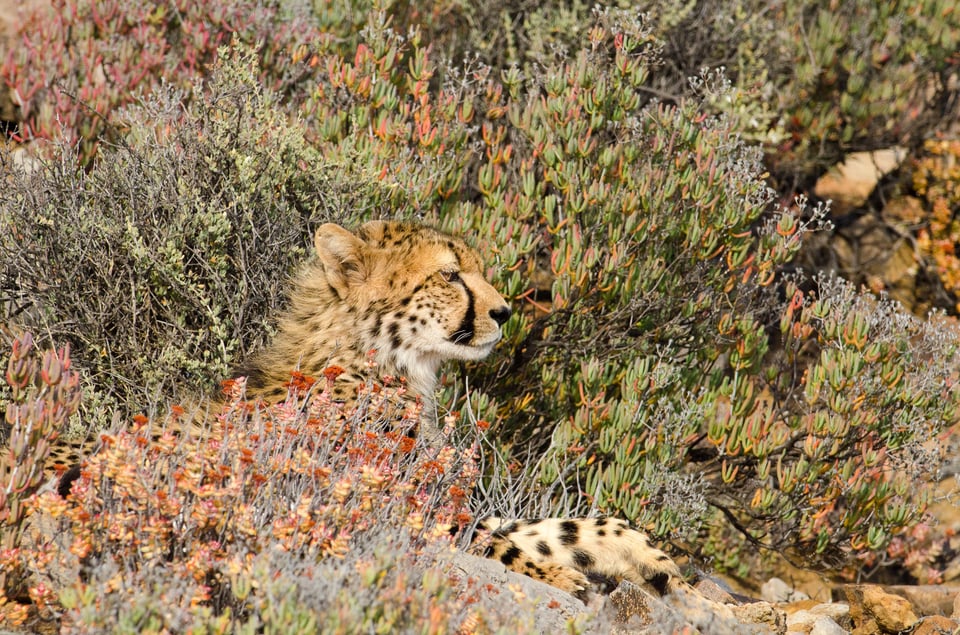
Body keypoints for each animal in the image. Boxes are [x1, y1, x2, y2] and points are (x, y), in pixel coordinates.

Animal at [16, 222, 688, 600]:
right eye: (451, 275)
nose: (503, 313)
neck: (390, 360)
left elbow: (557, 526)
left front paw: (642, 554)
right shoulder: (375, 501)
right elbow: (496, 541)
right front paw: (555, 575)